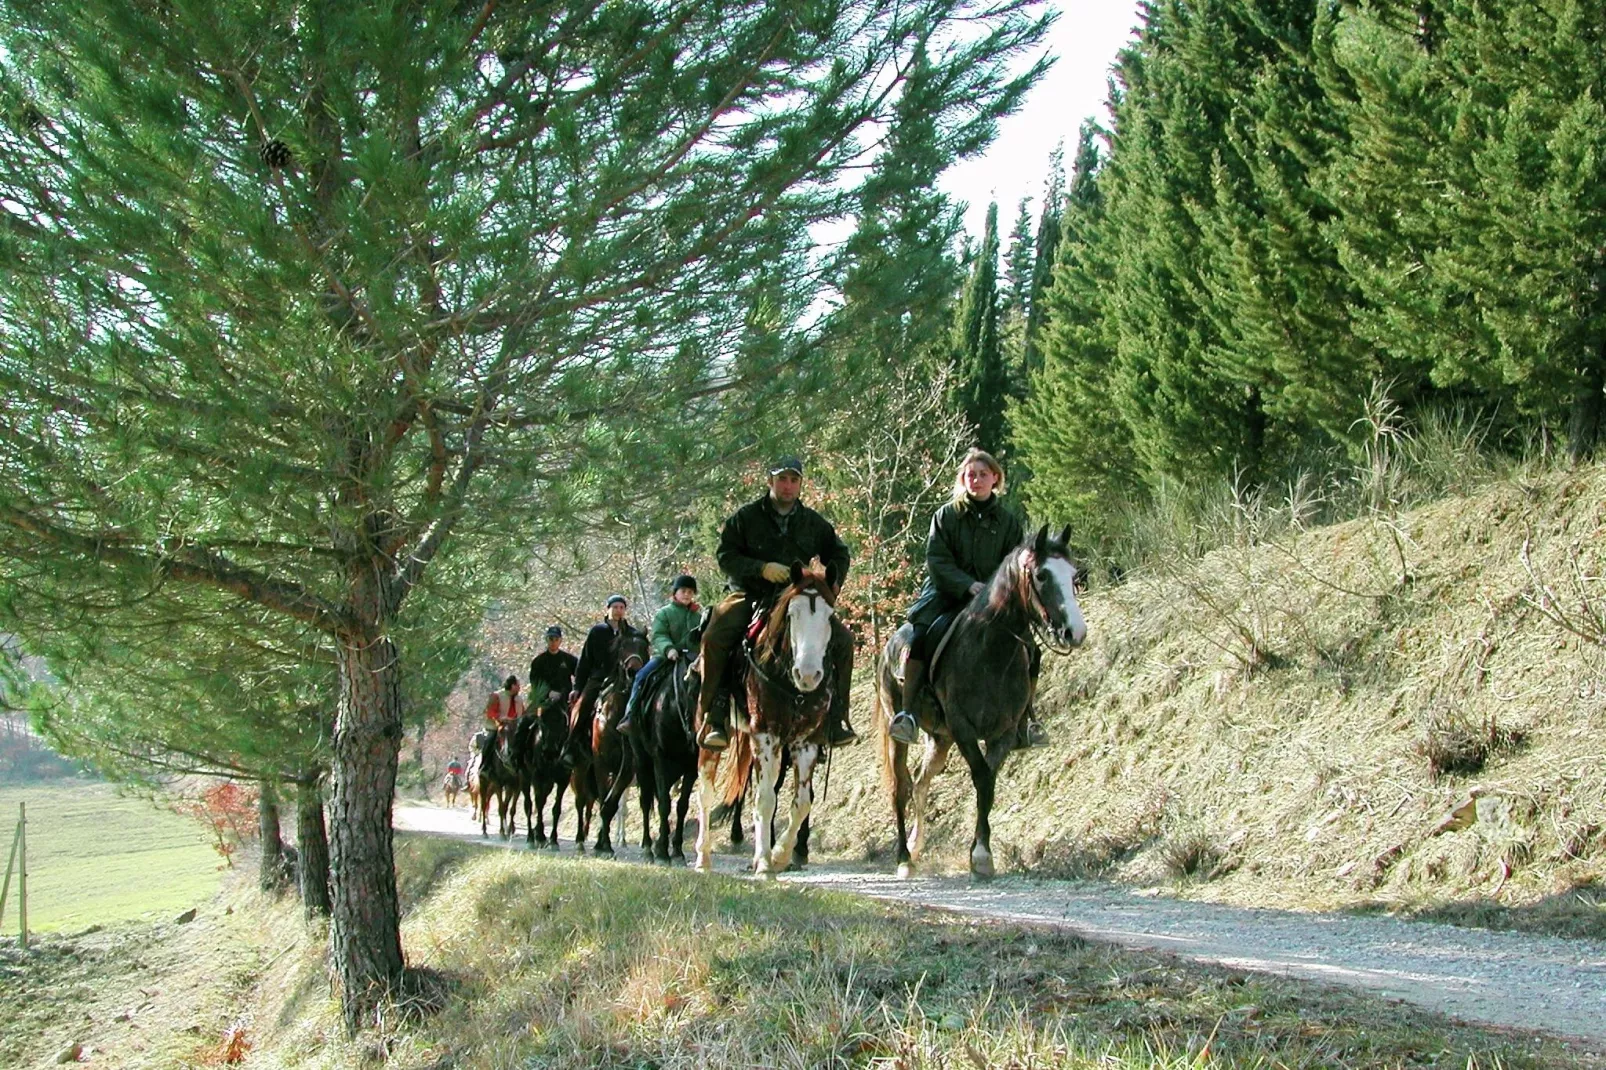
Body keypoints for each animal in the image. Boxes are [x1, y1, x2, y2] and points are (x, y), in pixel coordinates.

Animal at [693, 562, 835, 873]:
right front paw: (765, 864)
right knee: (705, 791)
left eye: (830, 616)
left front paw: (779, 855)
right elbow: (766, 799)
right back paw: (703, 857)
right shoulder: (766, 736)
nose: (808, 675)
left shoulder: (805, 742)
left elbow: (802, 802)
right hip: (709, 735)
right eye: (792, 614)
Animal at [880, 523, 1092, 873]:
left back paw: (915, 844)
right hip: (899, 731)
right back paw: (903, 858)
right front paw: (979, 855)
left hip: (940, 739)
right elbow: (980, 776)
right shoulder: (964, 729)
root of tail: (889, 645)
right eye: (1042, 575)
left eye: (1072, 574)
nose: (1075, 632)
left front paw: (981, 852)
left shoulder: (1002, 734)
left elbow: (988, 784)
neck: (989, 650)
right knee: (901, 787)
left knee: (922, 782)